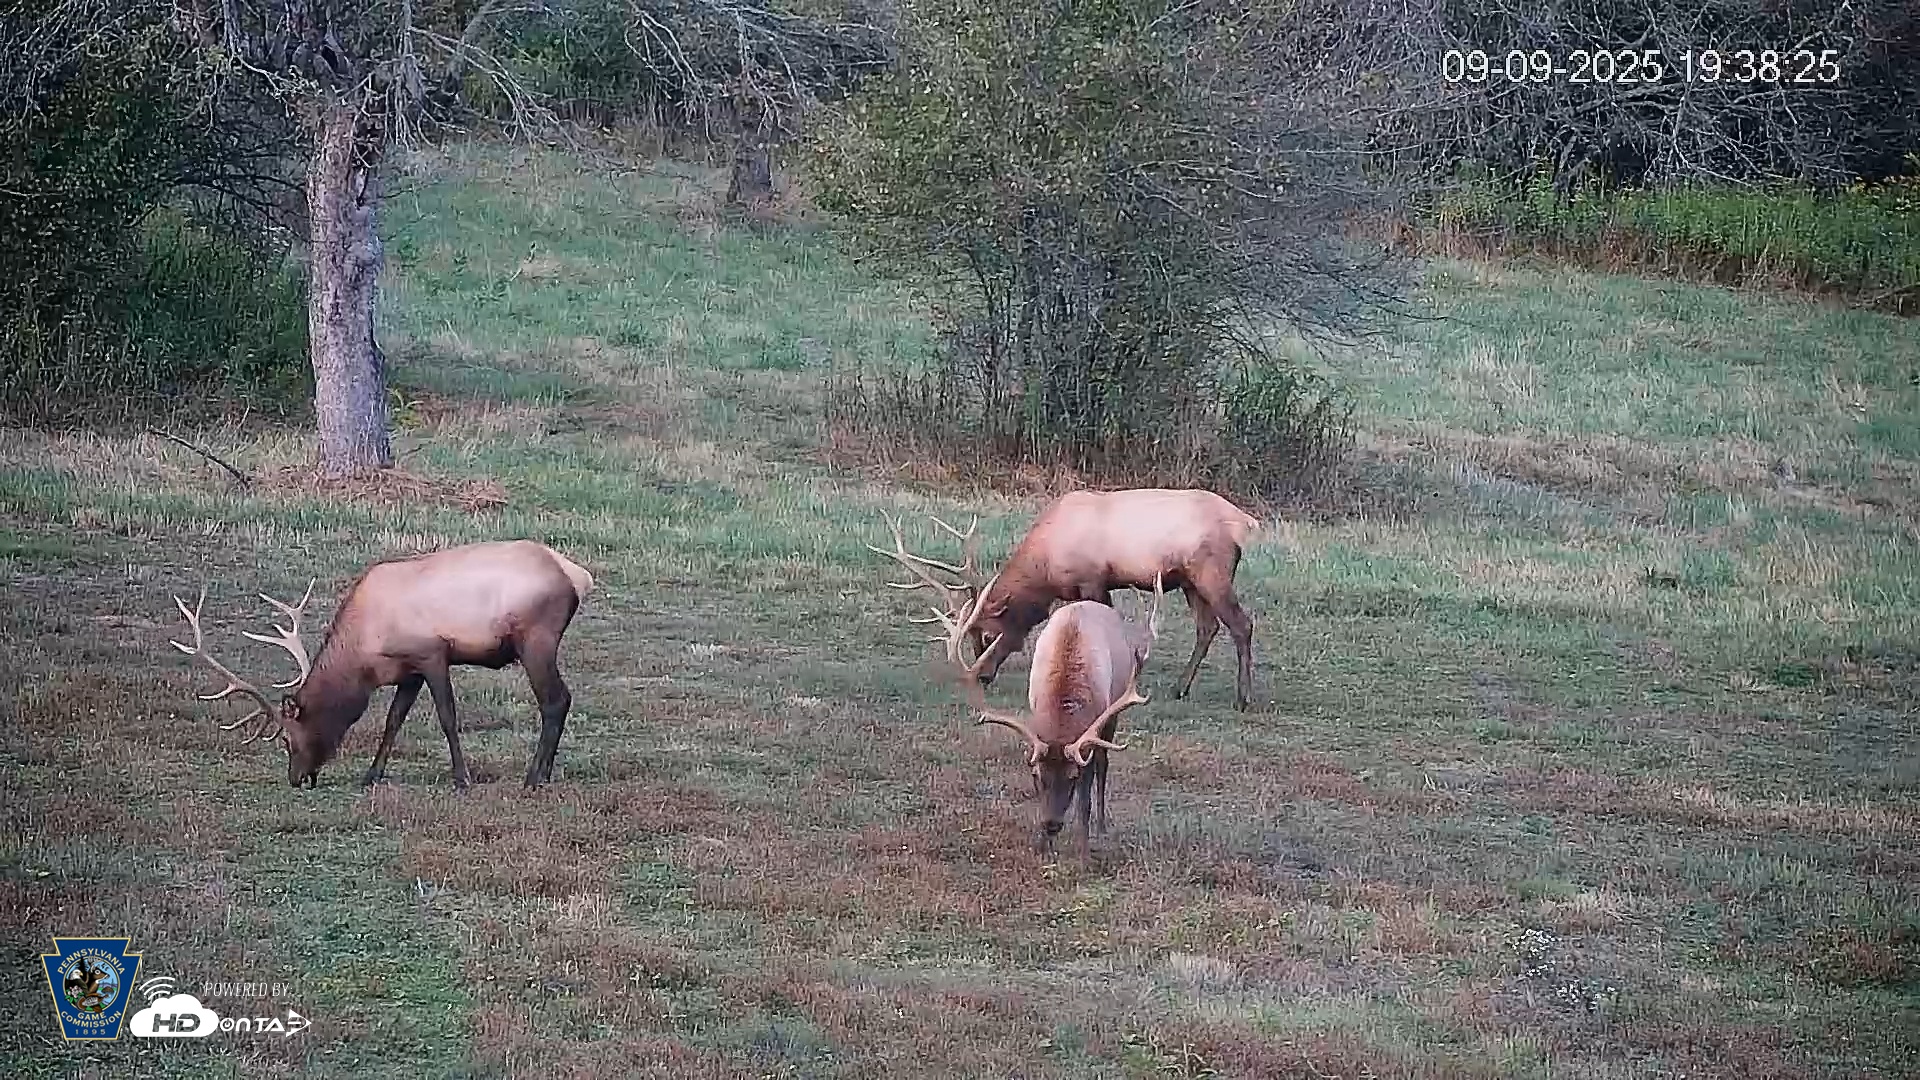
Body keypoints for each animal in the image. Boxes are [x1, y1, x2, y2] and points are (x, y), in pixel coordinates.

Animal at [167, 539, 594, 790]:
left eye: (287, 738)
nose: (296, 779)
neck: (367, 656)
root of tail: (578, 575)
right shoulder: (410, 672)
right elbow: (393, 720)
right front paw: (371, 774)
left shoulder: (431, 654)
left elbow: (447, 717)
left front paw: (462, 778)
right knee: (561, 700)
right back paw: (543, 774)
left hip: (535, 639)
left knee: (556, 700)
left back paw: (534, 777)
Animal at [868, 487, 1262, 710]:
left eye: (988, 634)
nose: (982, 677)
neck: (1047, 570)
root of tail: (1244, 522)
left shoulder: (1094, 580)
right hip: (1190, 581)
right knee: (1207, 627)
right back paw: (1181, 689)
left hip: (1212, 572)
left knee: (1241, 623)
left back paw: (1243, 698)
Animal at [922, 577, 1162, 851]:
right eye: (1036, 775)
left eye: (1072, 777)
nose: (1051, 824)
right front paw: (1042, 847)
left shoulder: (1089, 737)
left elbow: (1084, 802)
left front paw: (1083, 849)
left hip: (1112, 714)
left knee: (1104, 764)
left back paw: (1101, 826)